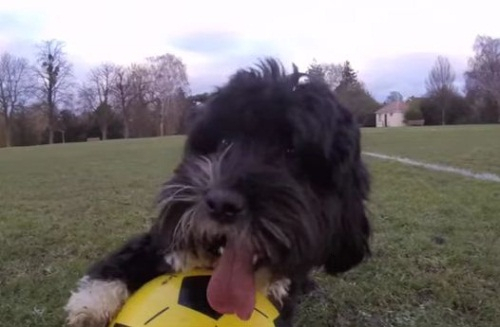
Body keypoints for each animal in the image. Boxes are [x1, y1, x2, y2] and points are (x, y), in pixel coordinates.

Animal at [63, 59, 372, 327]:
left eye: (291, 151)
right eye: (224, 141)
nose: (222, 204)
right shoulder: (162, 238)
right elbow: (122, 261)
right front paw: (91, 305)